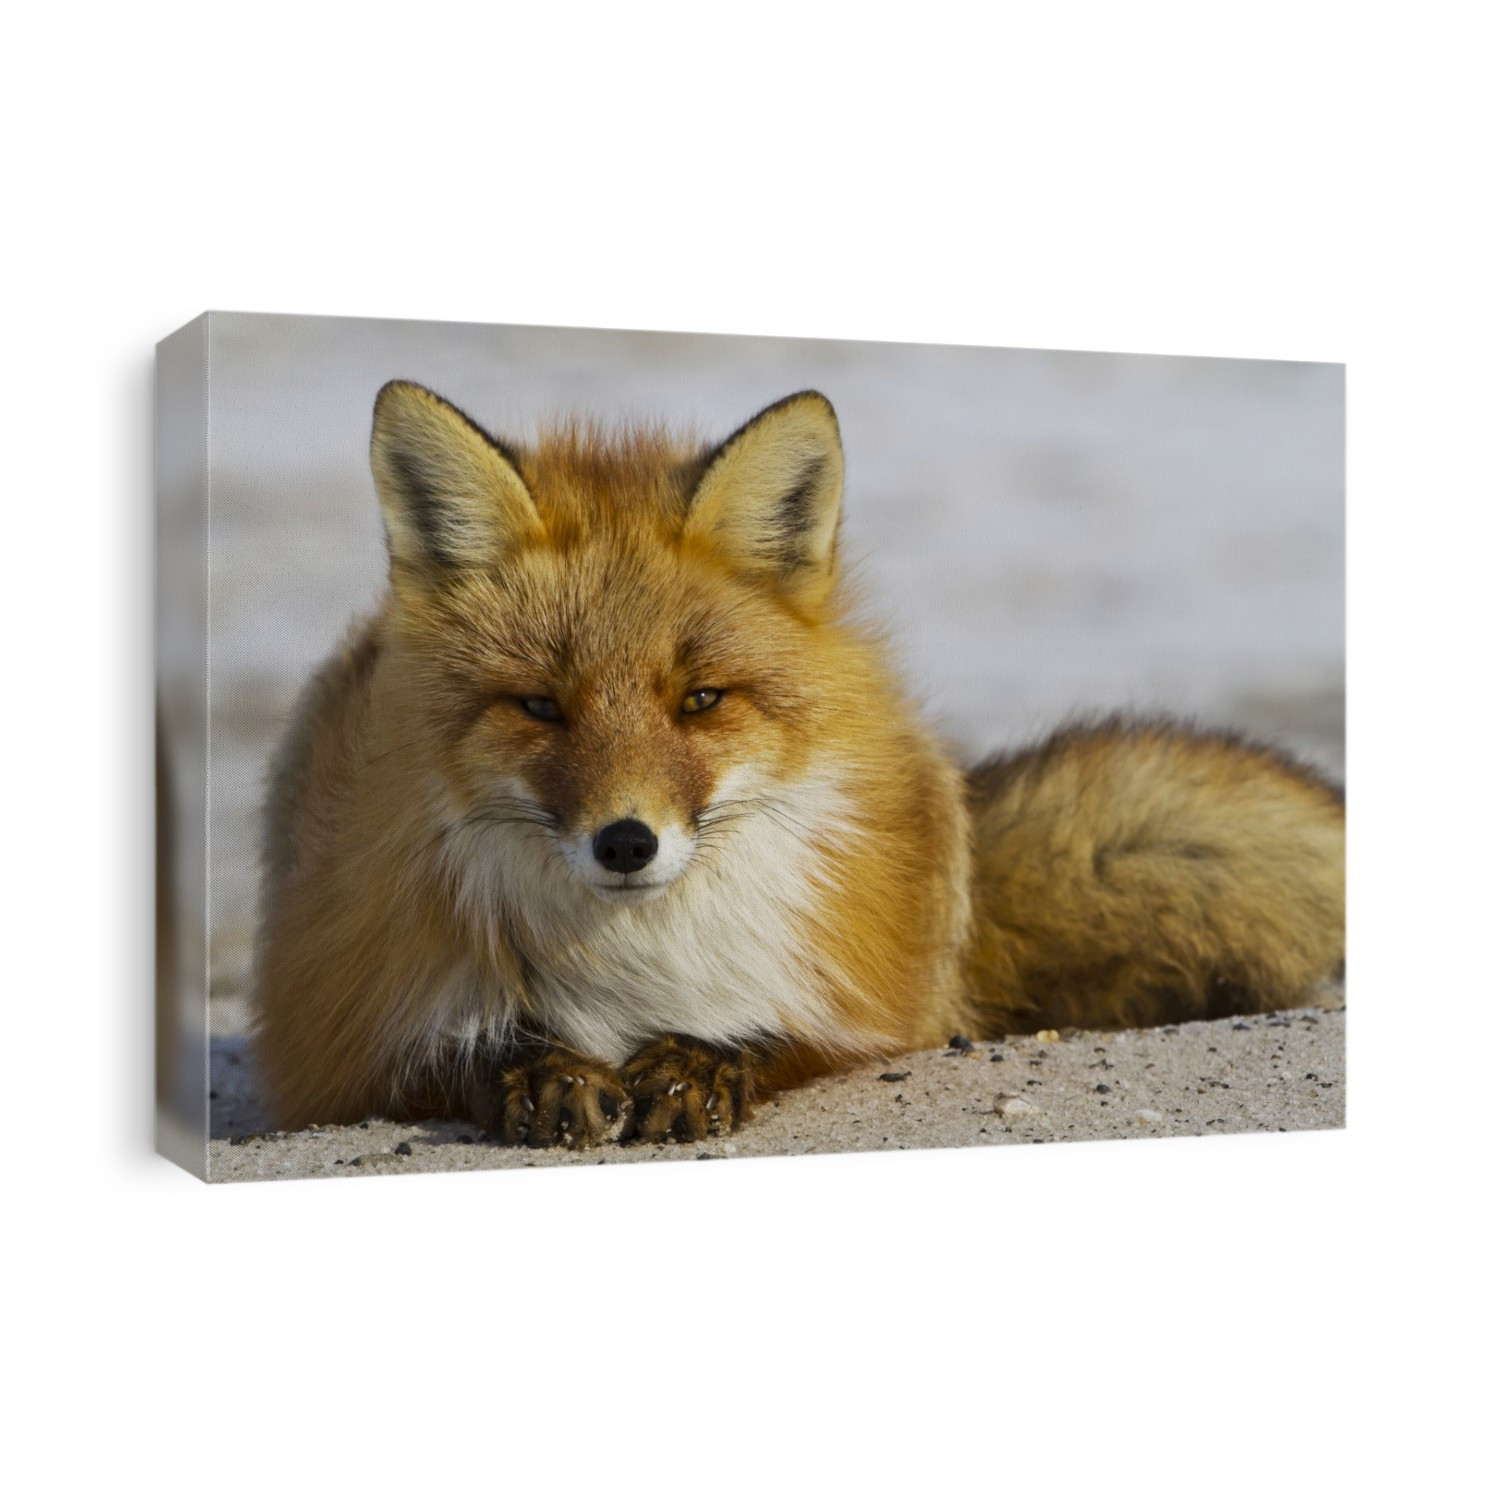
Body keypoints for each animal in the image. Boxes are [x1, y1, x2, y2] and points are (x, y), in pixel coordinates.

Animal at [251, 381, 1345, 1148]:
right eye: (540, 706)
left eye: (701, 700)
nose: (626, 843)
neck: (631, 962)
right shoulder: (339, 1038)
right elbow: (462, 1053)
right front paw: (540, 1069)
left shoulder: (865, 1004)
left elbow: (779, 1036)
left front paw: (698, 1063)